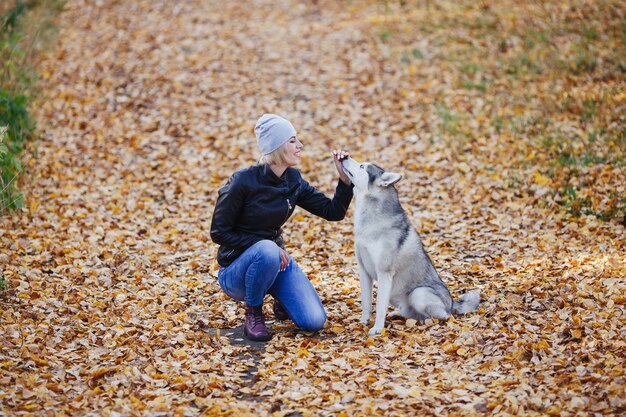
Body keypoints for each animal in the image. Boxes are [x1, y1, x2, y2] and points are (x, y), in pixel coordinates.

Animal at [342, 157, 478, 334]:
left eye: (362, 166)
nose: (344, 157)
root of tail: (452, 304)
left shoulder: (384, 273)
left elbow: (379, 305)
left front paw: (377, 328)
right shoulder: (364, 270)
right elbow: (366, 302)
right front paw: (363, 322)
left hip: (418, 294)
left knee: (444, 316)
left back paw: (427, 321)